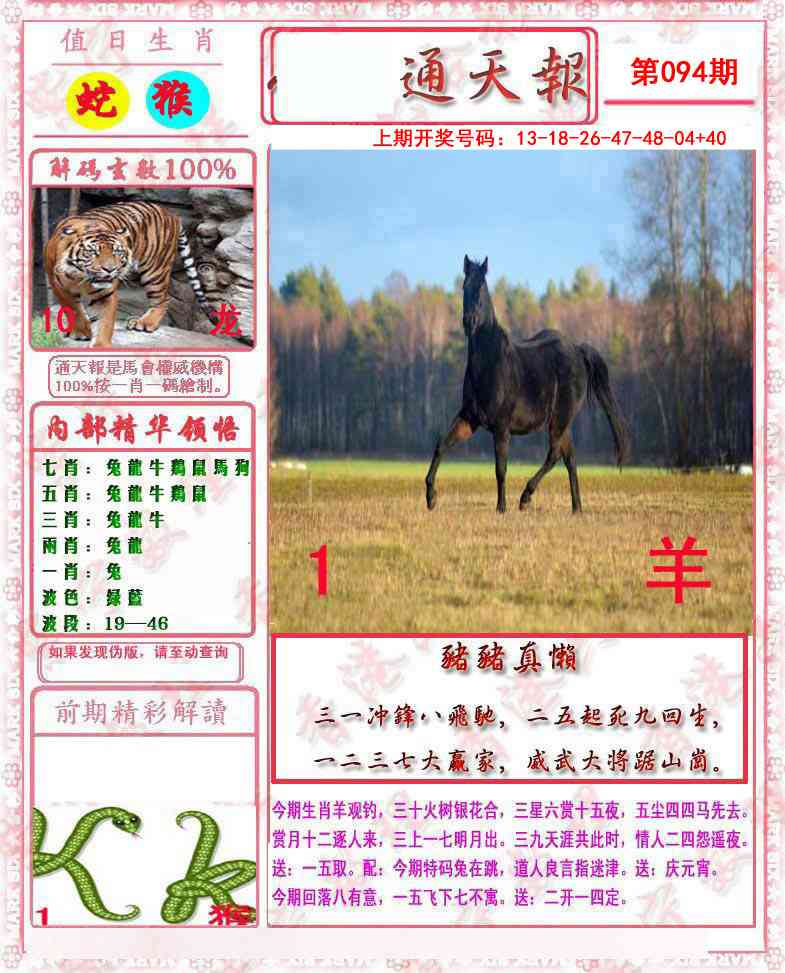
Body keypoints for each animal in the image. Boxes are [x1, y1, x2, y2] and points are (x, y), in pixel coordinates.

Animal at [425, 255, 630, 514]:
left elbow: (500, 468)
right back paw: (576, 508)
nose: (468, 321)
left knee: (554, 455)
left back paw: (526, 497)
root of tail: (577, 349)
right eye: (464, 286)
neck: (490, 362)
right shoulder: (470, 419)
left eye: (482, 286)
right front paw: (431, 497)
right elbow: (441, 445)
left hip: (559, 419)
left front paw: (501, 508)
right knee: (569, 458)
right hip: (561, 422)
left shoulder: (501, 426)